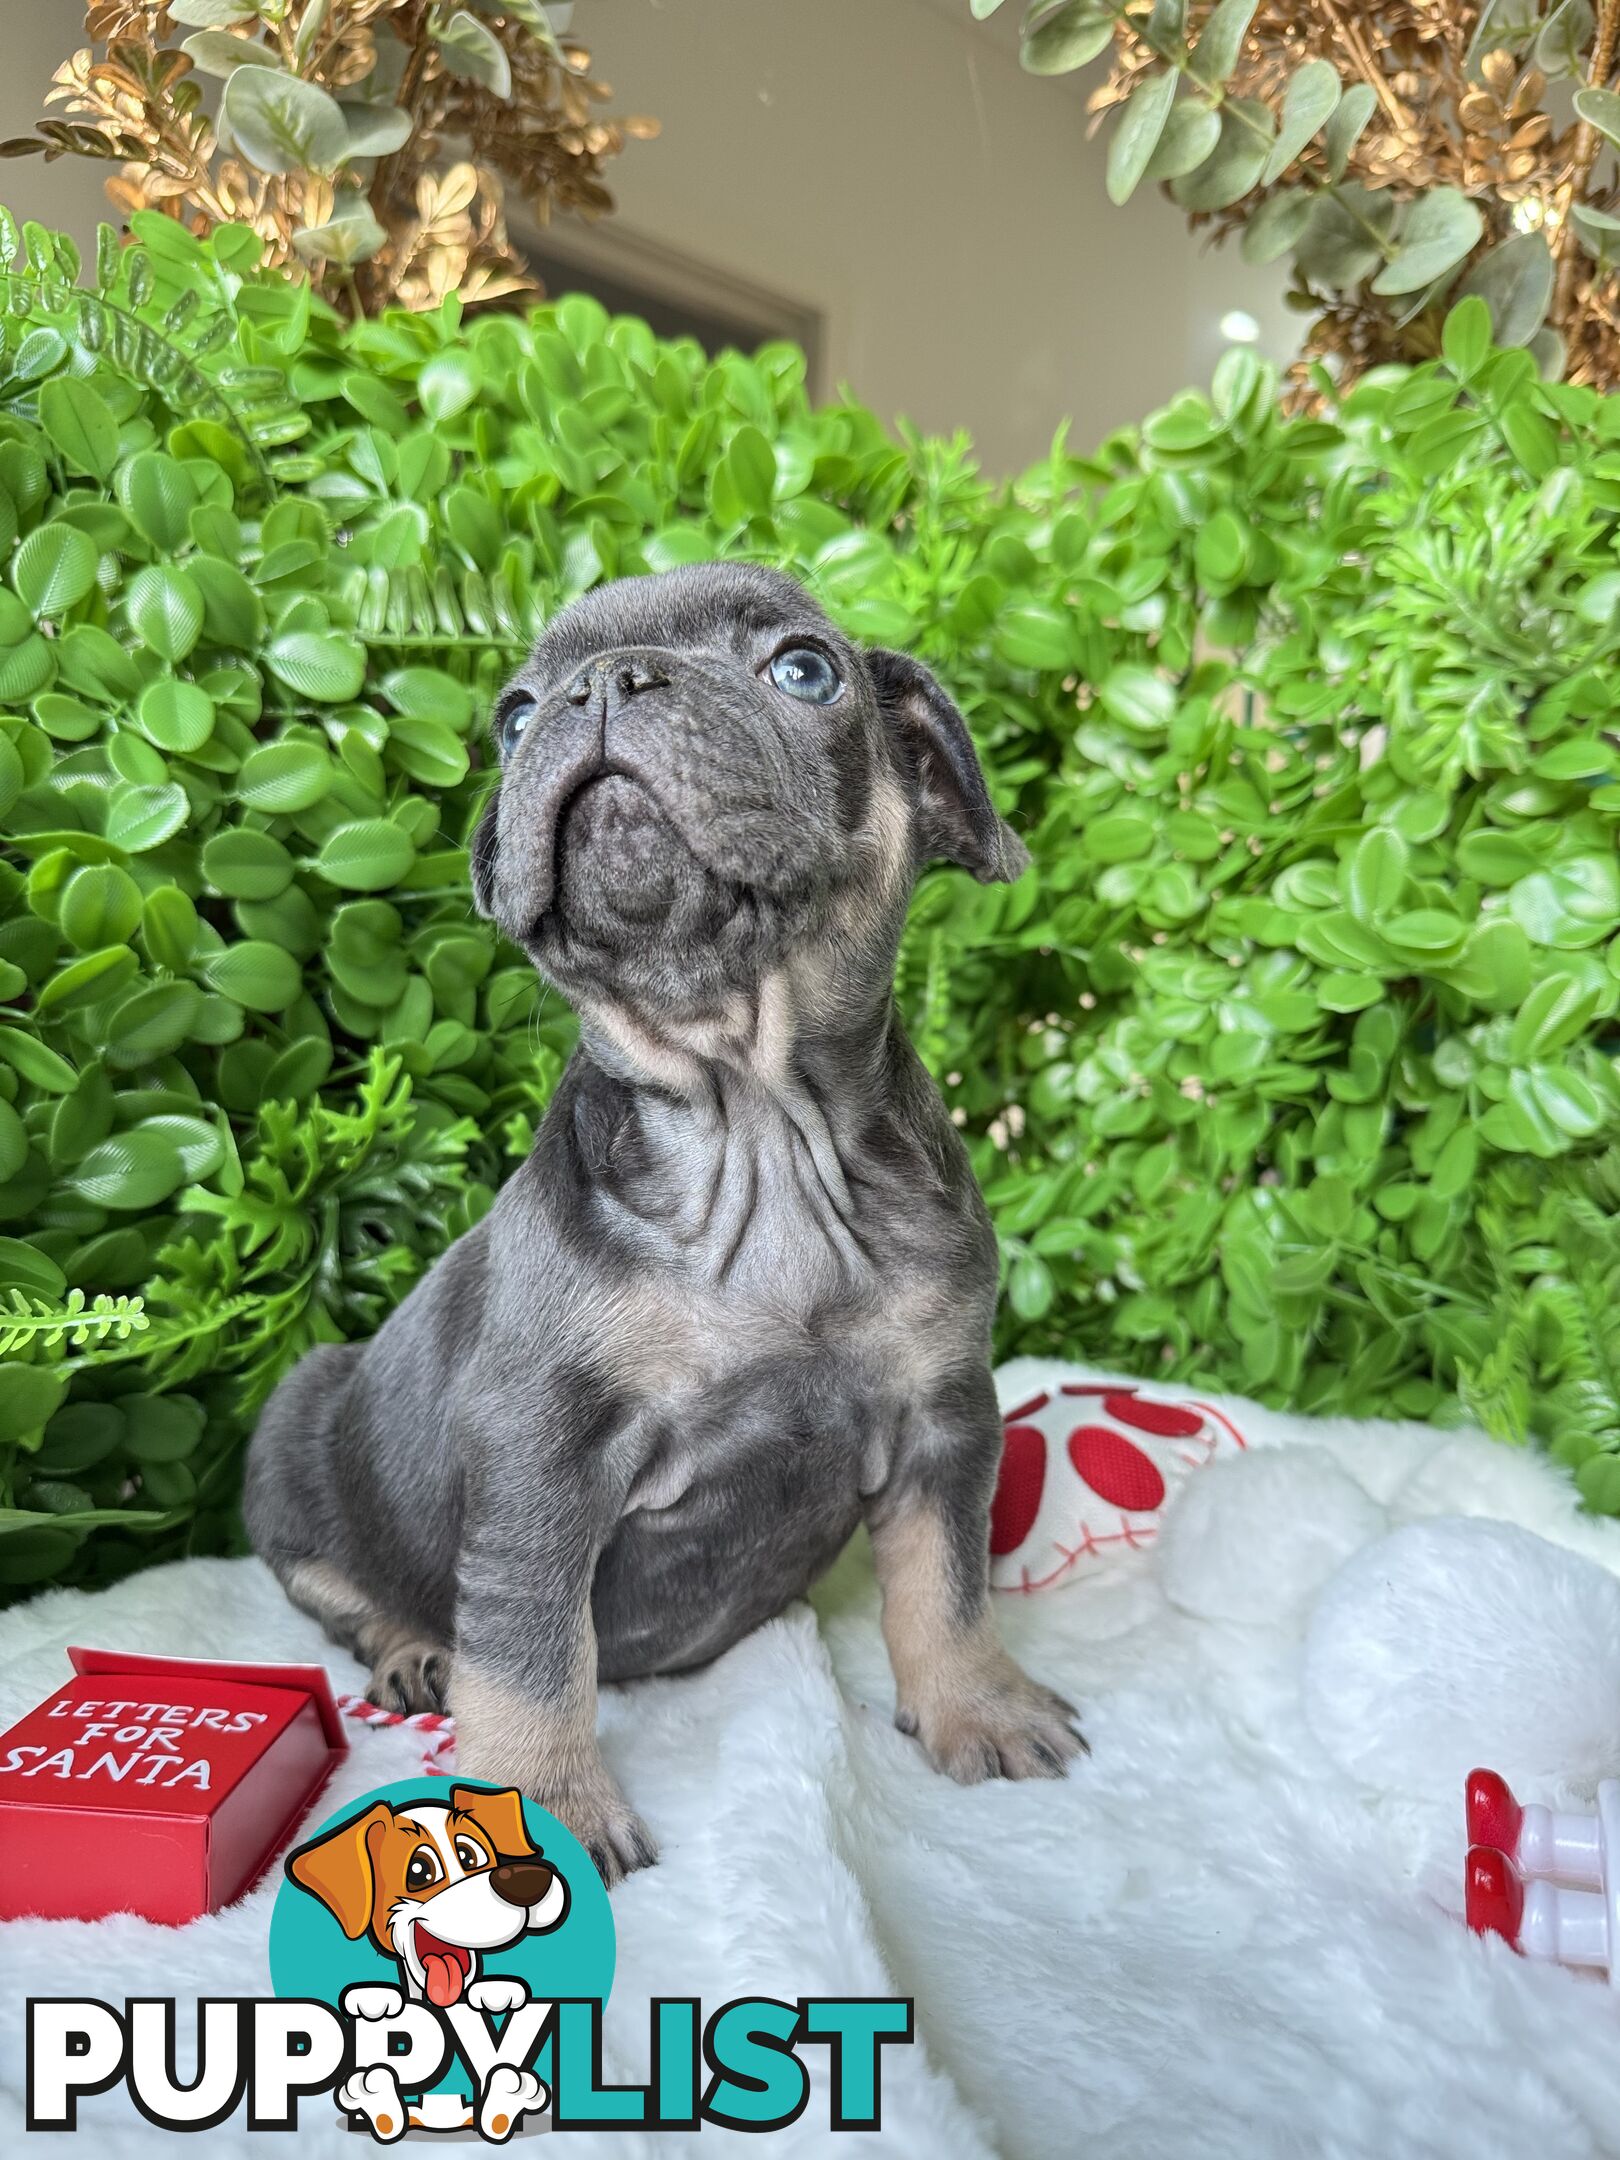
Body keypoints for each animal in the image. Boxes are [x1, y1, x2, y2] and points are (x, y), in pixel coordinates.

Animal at [247, 565, 1084, 1883]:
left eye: (805, 669)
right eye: (514, 719)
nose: (600, 685)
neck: (755, 1120)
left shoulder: (944, 1418)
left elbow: (946, 1583)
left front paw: (977, 1705)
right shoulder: (540, 1461)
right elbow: (531, 1656)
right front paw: (539, 1801)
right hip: (299, 1429)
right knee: (340, 1584)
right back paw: (414, 1648)